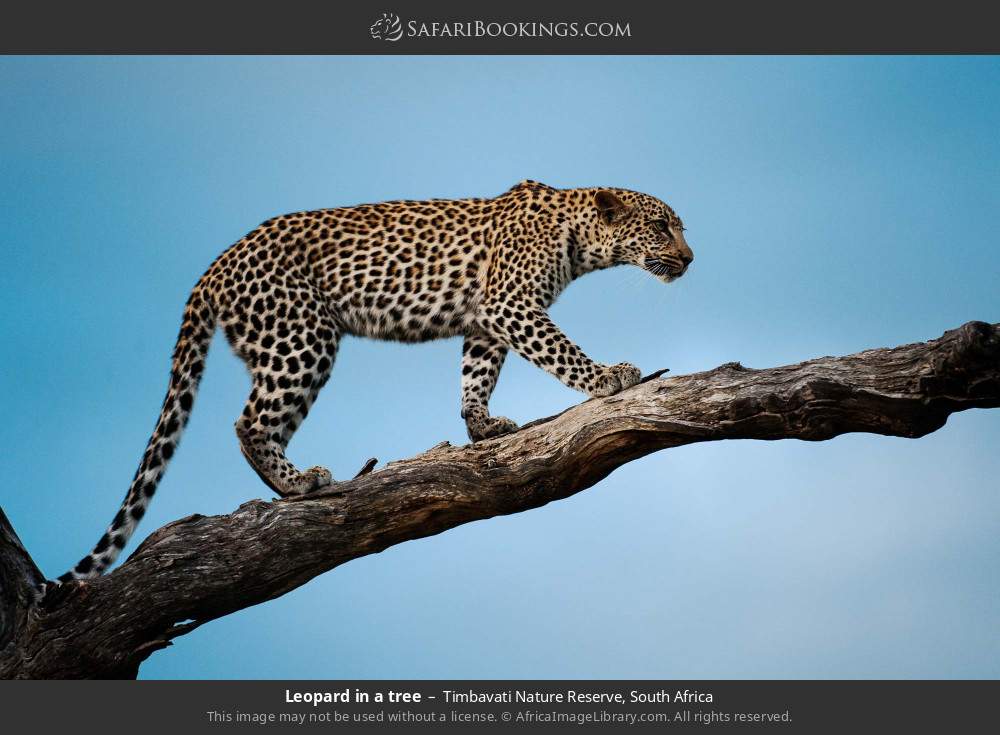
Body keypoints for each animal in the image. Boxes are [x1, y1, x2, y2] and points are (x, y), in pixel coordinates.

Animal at [53, 180, 693, 585]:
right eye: (661, 227)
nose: (690, 258)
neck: (579, 236)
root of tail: (212, 269)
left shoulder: (486, 318)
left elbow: (476, 373)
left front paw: (482, 426)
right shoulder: (510, 303)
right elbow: (558, 350)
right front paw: (608, 377)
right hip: (301, 338)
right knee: (248, 422)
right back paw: (300, 484)